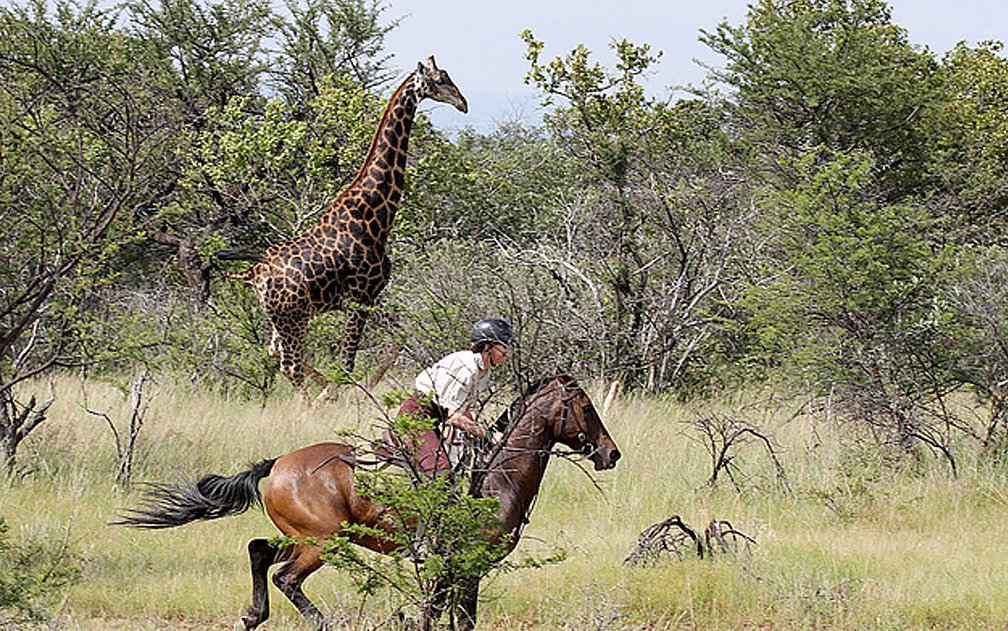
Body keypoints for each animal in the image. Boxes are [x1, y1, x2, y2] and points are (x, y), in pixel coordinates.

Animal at [117, 372, 620, 628]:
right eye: (586, 407)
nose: (611, 453)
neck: (497, 476)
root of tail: (277, 464)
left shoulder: (458, 568)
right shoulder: (465, 564)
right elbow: (456, 617)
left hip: (305, 535)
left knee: (258, 551)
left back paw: (253, 617)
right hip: (323, 541)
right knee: (286, 578)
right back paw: (321, 623)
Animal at [217, 56, 467, 395]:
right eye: (440, 80)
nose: (463, 103)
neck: (373, 215)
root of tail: (253, 273)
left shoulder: (364, 298)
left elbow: (398, 335)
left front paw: (360, 388)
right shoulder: (360, 296)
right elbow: (347, 365)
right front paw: (340, 395)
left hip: (280, 318)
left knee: (276, 352)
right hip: (294, 318)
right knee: (290, 365)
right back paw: (312, 402)